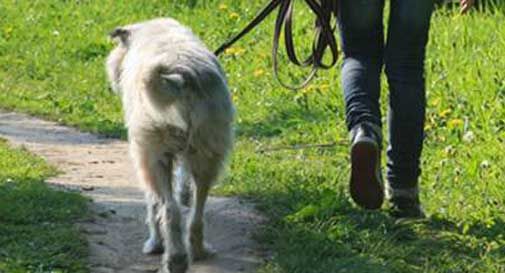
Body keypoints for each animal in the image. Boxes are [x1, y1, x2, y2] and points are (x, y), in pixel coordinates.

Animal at [106, 18, 234, 270]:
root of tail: (178, 77)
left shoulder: (145, 154)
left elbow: (152, 203)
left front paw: (154, 244)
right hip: (208, 151)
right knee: (197, 211)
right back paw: (199, 251)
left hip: (153, 156)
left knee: (169, 208)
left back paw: (173, 257)